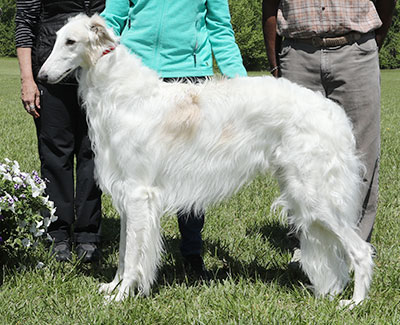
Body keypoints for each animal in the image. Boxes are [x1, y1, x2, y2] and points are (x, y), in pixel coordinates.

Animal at [39, 13, 374, 306]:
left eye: (71, 41)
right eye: (56, 39)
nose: (41, 77)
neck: (124, 96)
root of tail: (334, 113)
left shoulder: (138, 194)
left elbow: (134, 257)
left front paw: (121, 297)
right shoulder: (127, 195)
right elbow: (124, 254)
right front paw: (112, 287)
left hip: (316, 197)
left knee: (361, 250)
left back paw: (355, 303)